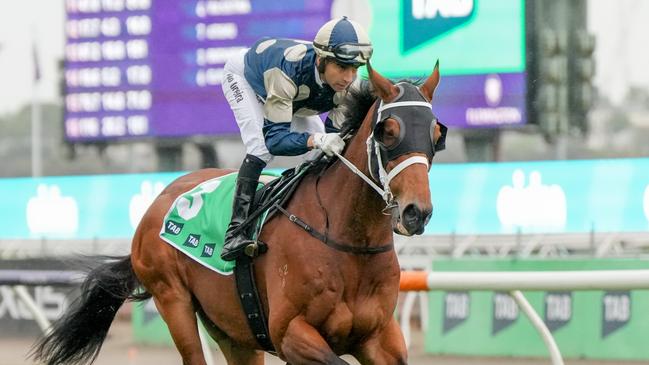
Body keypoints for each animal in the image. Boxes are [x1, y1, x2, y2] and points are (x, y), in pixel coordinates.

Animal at [33, 63, 442, 364]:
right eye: (388, 131)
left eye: (437, 135)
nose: (415, 213)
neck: (347, 240)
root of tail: (161, 199)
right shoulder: (291, 333)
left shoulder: (380, 336)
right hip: (173, 300)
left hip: (233, 329)